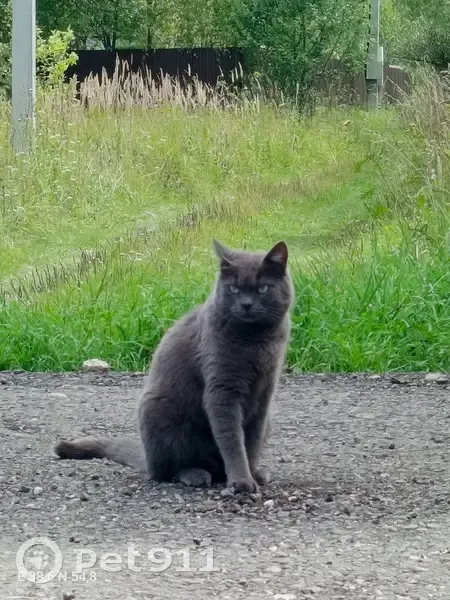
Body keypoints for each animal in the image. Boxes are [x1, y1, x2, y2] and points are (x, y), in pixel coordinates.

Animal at [54, 239, 294, 494]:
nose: (246, 305)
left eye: (263, 289)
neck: (256, 343)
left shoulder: (265, 392)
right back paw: (195, 474)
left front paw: (253, 472)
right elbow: (232, 440)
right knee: (167, 472)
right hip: (159, 413)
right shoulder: (222, 389)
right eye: (234, 289)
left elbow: (252, 441)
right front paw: (241, 480)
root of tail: (146, 460)